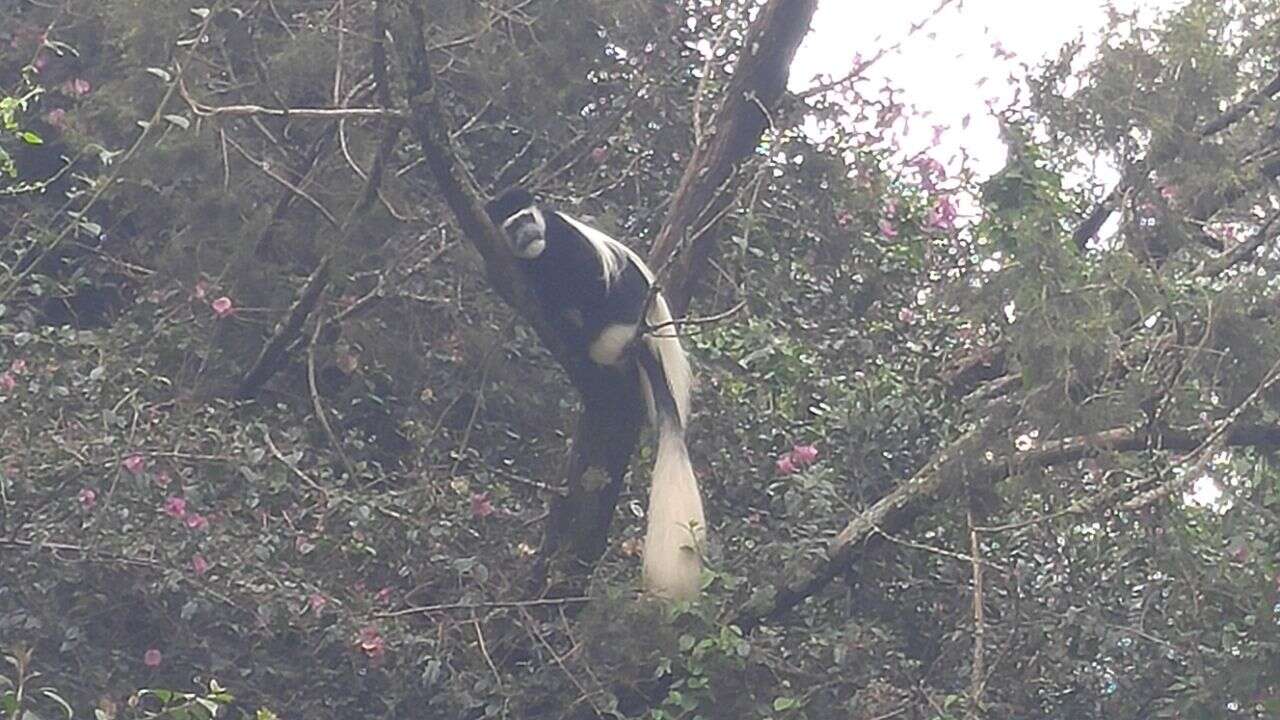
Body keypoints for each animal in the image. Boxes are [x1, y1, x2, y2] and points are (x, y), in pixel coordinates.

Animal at [483, 185, 706, 599]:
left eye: (526, 219)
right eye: (511, 228)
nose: (527, 236)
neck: (541, 252)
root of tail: (652, 340)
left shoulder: (565, 239)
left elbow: (589, 276)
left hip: (627, 312)